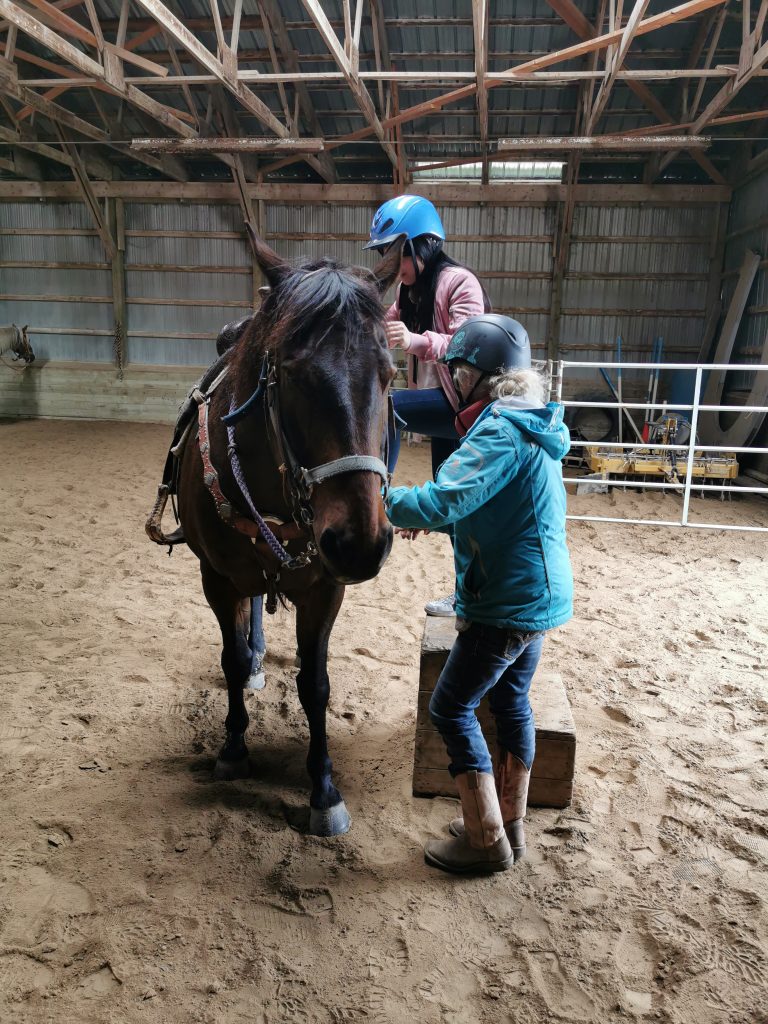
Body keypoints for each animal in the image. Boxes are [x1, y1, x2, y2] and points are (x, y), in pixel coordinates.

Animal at [172, 228, 405, 835]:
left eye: (389, 373)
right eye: (295, 374)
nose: (359, 543)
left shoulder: (325, 589)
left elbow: (315, 684)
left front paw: (324, 789)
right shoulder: (216, 578)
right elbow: (229, 659)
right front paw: (233, 749)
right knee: (249, 616)